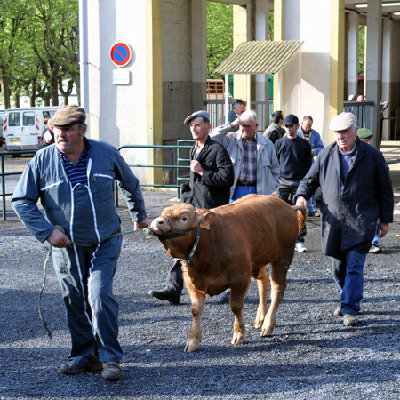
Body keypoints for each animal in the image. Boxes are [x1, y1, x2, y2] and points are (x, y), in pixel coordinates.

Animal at [148, 195, 304, 352]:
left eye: (184, 218)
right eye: (164, 212)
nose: (158, 221)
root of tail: (282, 202)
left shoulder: (240, 278)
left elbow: (236, 306)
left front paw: (239, 334)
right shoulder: (191, 282)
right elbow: (196, 310)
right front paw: (193, 341)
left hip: (283, 257)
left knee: (277, 289)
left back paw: (268, 325)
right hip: (258, 259)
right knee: (263, 282)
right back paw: (261, 317)